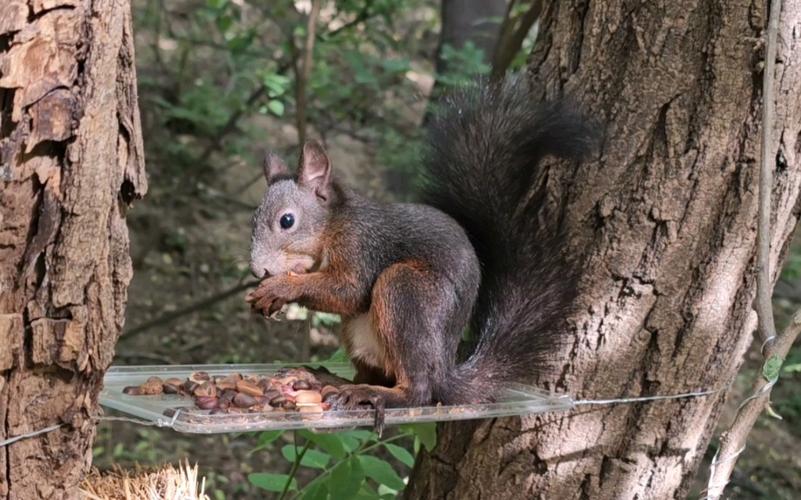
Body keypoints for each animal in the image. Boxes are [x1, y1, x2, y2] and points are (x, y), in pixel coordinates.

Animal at [244, 76, 592, 432]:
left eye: (287, 220)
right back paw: (328, 380)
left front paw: (280, 288)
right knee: (375, 375)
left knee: (418, 391)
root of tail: (445, 371)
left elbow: (350, 291)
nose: (259, 271)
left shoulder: (362, 245)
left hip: (407, 291)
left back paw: (377, 395)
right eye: (253, 219)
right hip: (362, 334)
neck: (333, 224)